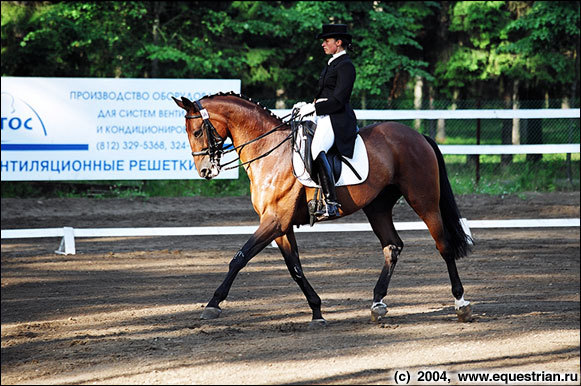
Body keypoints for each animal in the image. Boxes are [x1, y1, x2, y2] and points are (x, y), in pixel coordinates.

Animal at [171, 92, 472, 324]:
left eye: (197, 131)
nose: (205, 171)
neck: (269, 151)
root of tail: (418, 135)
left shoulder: (275, 221)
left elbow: (240, 258)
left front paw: (213, 304)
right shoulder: (281, 226)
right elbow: (295, 267)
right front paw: (316, 310)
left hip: (424, 201)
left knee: (443, 245)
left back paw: (461, 304)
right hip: (377, 206)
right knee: (392, 246)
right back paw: (377, 304)